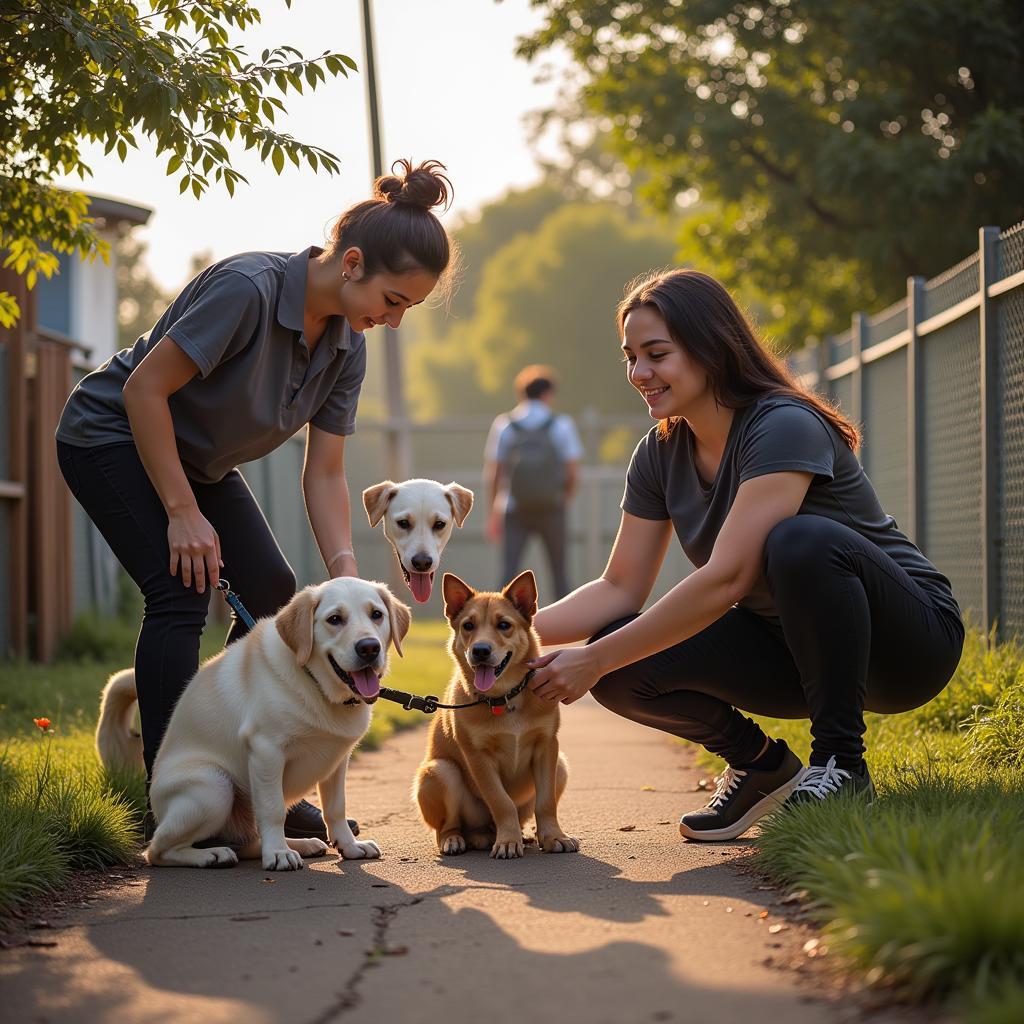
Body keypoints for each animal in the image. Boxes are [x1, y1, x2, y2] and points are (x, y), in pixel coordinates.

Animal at [95, 581, 407, 868]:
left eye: (376, 614)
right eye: (334, 619)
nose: (369, 648)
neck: (314, 683)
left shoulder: (337, 759)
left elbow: (335, 808)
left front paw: (349, 846)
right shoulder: (266, 751)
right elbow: (273, 810)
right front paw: (278, 854)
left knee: (249, 840)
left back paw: (299, 844)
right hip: (213, 787)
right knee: (157, 850)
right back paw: (212, 855)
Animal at [411, 573, 581, 860]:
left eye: (504, 625)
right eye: (468, 626)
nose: (480, 650)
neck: (505, 699)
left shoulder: (547, 747)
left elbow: (546, 803)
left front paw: (553, 836)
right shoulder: (478, 757)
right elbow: (501, 802)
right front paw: (508, 841)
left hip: (561, 765)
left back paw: (527, 834)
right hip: (439, 771)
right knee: (446, 827)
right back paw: (455, 839)